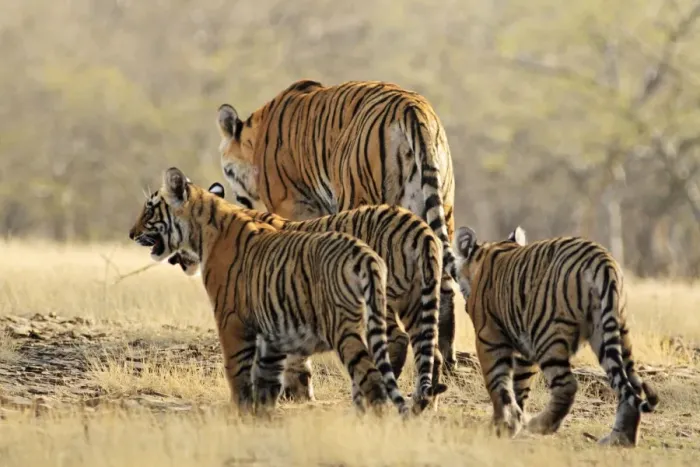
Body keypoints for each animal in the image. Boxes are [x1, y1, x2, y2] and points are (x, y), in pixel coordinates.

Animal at [129, 167, 411, 417]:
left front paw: (243, 411)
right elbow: (267, 376)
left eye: (150, 209)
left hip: (354, 321)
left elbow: (238, 371)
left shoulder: (231, 318)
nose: (131, 234)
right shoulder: (271, 326)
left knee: (380, 366)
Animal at [171, 181, 449, 410]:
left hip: (382, 299)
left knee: (397, 342)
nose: (175, 258)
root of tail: (420, 227)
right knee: (430, 352)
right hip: (415, 302)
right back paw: (424, 405)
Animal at [454, 225, 659, 446]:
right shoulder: (525, 348)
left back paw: (539, 425)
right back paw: (620, 439)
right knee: (632, 385)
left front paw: (502, 425)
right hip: (613, 331)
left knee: (567, 386)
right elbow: (519, 385)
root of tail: (602, 261)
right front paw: (514, 422)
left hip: (548, 334)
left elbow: (498, 384)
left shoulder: (489, 338)